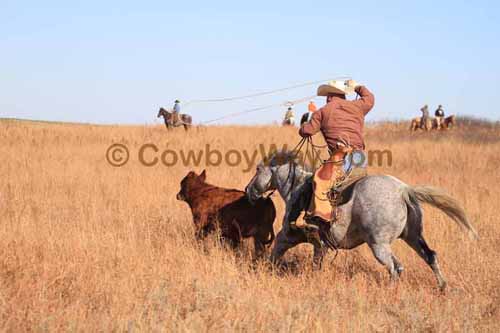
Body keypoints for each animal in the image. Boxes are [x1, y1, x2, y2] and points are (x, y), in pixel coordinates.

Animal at [244, 150, 478, 288]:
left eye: (258, 169)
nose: (248, 190)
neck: (297, 187)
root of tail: (403, 190)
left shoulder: (298, 237)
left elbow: (282, 253)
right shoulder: (313, 242)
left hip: (378, 245)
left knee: (394, 267)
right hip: (412, 236)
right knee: (427, 256)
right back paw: (443, 287)